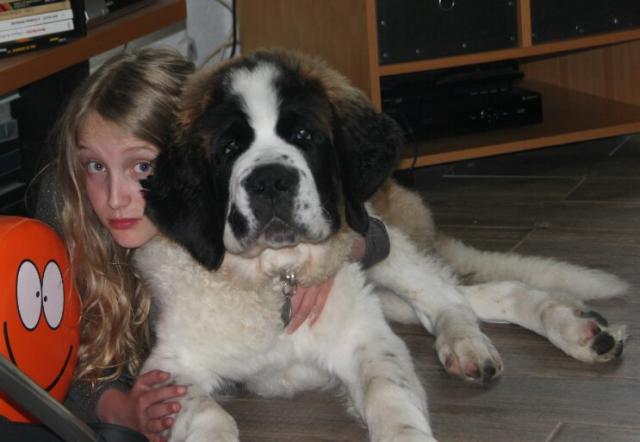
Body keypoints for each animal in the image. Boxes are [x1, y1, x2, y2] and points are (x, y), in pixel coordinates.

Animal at [135, 48, 628, 441]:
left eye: (304, 136)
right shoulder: (168, 369)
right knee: (482, 294)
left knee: (453, 300)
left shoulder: (366, 340)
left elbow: (387, 395)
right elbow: (207, 414)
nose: (270, 181)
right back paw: (579, 328)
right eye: (229, 148)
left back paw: (479, 343)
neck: (280, 278)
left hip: (379, 240)